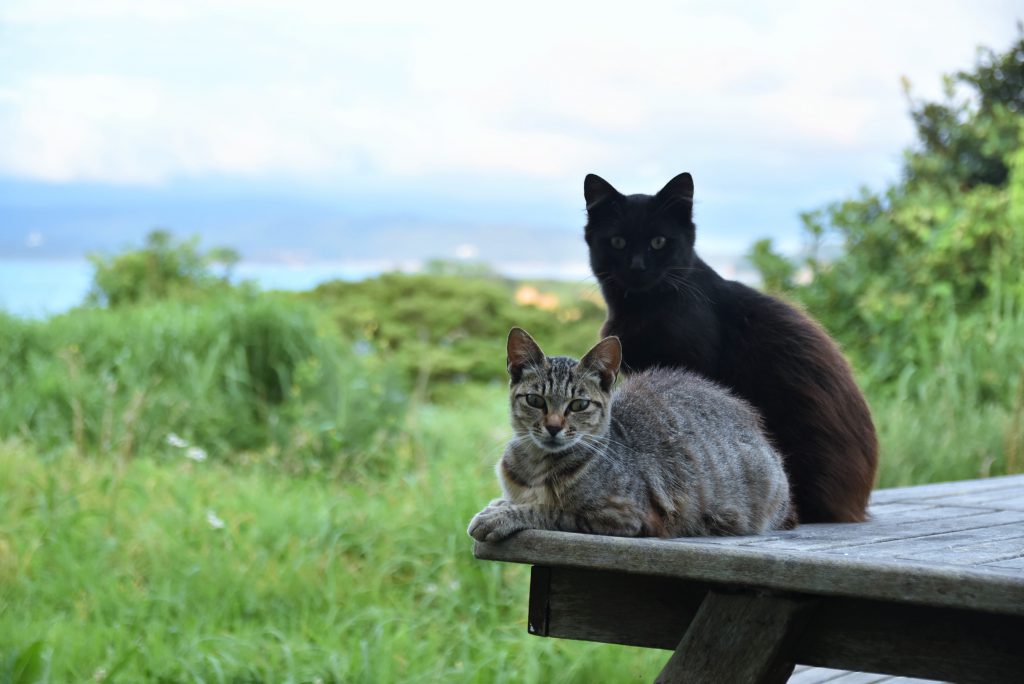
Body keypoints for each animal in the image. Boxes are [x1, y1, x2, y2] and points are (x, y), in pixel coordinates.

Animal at [466, 327, 790, 540]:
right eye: (535, 400)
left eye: (579, 404)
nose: (554, 427)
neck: (537, 465)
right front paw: (500, 505)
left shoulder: (625, 516)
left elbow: (549, 510)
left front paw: (503, 516)